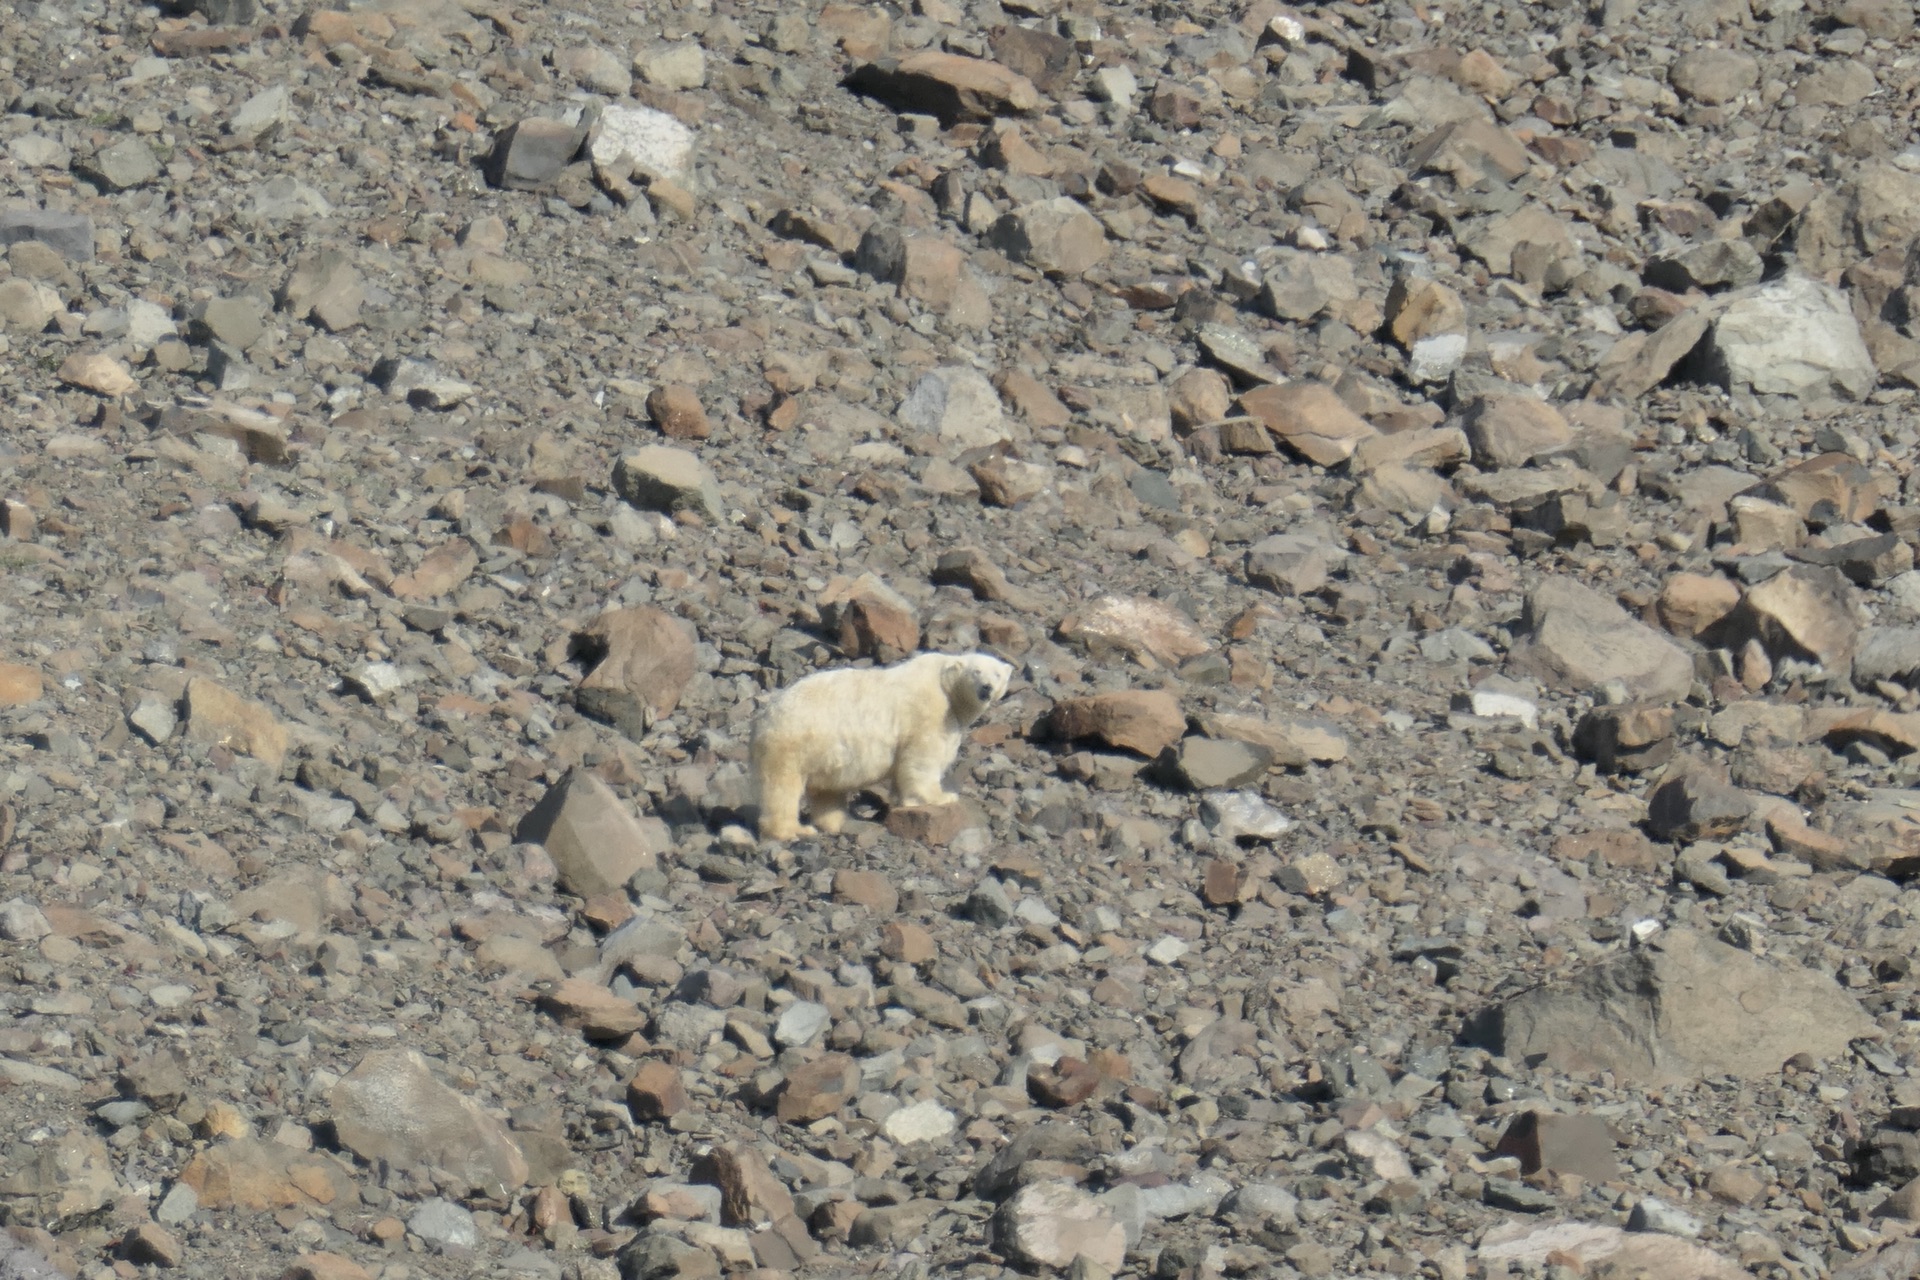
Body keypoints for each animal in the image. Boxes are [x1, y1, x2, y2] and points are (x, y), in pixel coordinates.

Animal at [752, 652, 1021, 840]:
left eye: (997, 674)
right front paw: (942, 796)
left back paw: (836, 821)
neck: (944, 684)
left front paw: (905, 800)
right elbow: (923, 758)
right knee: (782, 788)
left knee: (825, 791)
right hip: (791, 743)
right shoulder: (928, 711)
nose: (986, 687)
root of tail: (763, 718)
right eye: (976, 672)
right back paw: (793, 830)